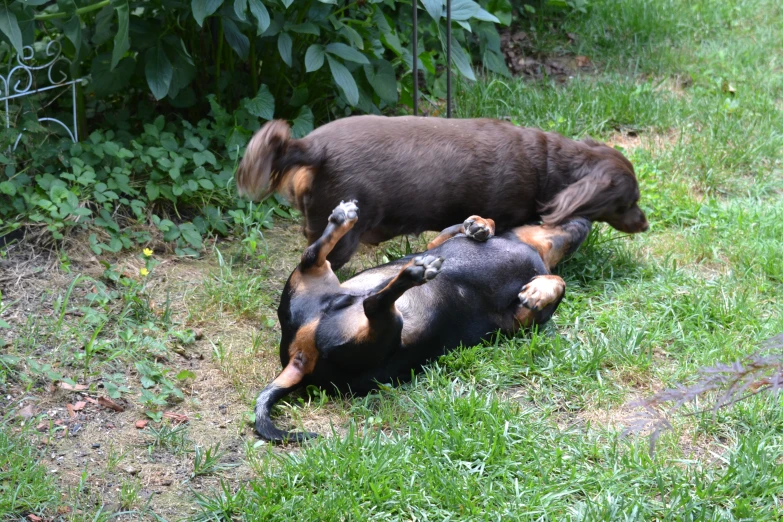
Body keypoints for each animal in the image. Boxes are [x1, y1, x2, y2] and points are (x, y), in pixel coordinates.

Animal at [254, 199, 592, 438]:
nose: (586, 219)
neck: (533, 248)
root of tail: (299, 358)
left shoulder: (519, 319)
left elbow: (558, 282)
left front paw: (539, 289)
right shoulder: (436, 243)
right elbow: (474, 225)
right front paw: (479, 225)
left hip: (375, 330)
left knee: (362, 295)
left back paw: (405, 266)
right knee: (339, 276)